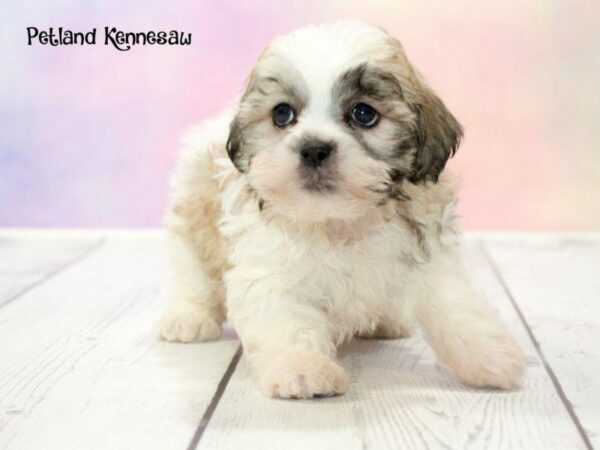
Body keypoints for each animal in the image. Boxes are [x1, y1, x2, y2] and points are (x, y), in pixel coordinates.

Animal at [161, 21, 524, 400]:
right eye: (282, 114)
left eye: (364, 114)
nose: (314, 149)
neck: (338, 220)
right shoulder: (269, 269)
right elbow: (288, 321)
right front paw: (302, 369)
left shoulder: (427, 258)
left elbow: (455, 304)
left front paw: (490, 354)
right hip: (192, 211)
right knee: (194, 273)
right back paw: (189, 318)